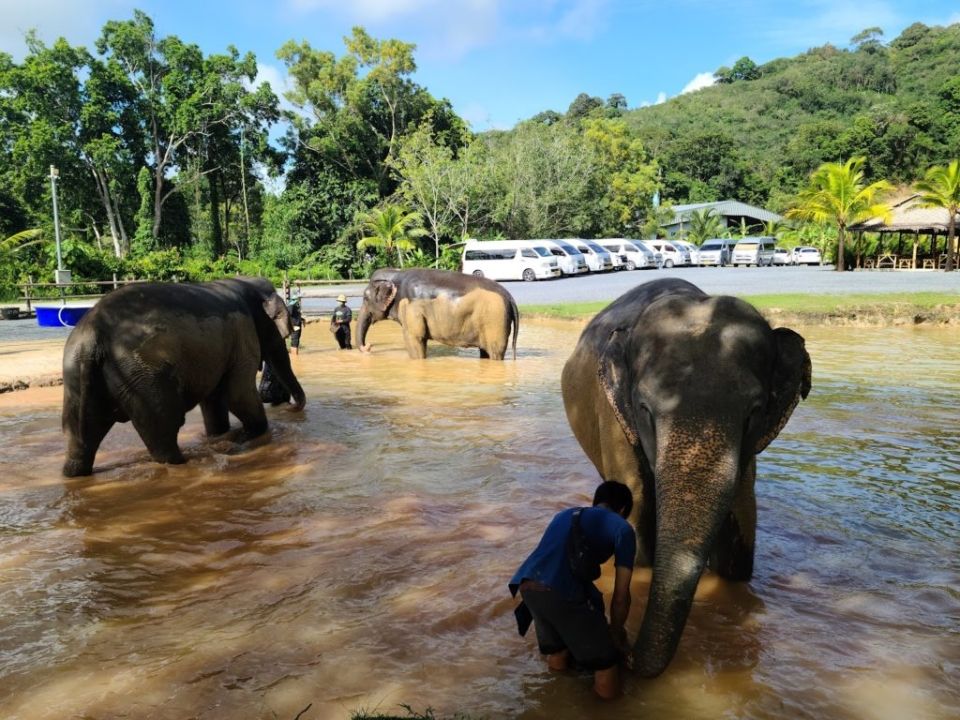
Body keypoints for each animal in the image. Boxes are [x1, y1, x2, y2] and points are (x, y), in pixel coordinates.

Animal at [61, 277, 306, 477]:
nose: (291, 407)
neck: (246, 284)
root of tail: (92, 335)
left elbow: (214, 400)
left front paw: (221, 435)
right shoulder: (243, 332)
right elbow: (237, 394)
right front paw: (253, 434)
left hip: (77, 374)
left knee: (79, 439)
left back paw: (74, 472)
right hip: (144, 377)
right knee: (163, 431)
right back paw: (182, 461)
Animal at [356, 268, 519, 360]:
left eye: (365, 298)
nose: (369, 346)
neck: (395, 274)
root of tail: (510, 297)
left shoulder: (411, 308)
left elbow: (414, 339)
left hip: (494, 321)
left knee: (495, 352)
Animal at [561, 278, 811, 678]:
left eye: (754, 412)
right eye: (645, 409)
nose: (624, 648)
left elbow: (744, 511)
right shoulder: (613, 417)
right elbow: (635, 510)